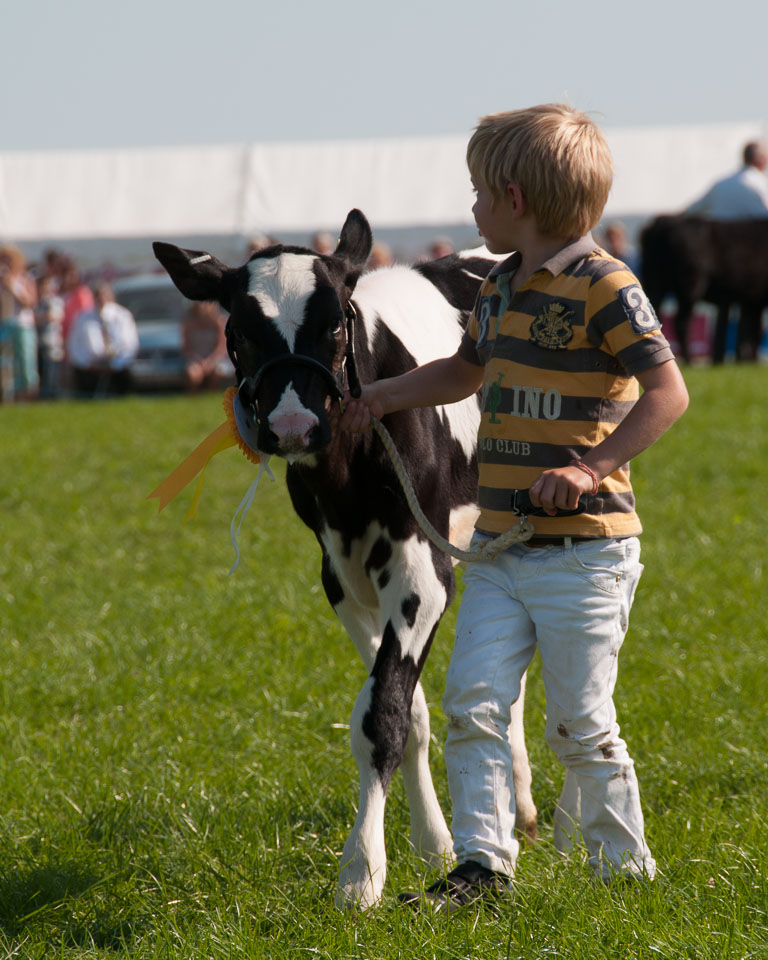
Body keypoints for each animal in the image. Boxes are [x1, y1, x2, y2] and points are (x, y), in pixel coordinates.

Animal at [152, 210, 536, 908]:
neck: (345, 477)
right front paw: (434, 843)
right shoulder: (343, 578)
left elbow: (381, 715)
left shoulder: (422, 574)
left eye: (336, 321)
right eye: (237, 332)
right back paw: (519, 803)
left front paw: (361, 871)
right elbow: (407, 711)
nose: (293, 426)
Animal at [640, 216, 768, 362]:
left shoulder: (750, 301)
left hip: (655, 284)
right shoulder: (754, 300)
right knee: (682, 323)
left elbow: (748, 330)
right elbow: (752, 330)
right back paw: (689, 359)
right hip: (689, 288)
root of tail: (663, 223)